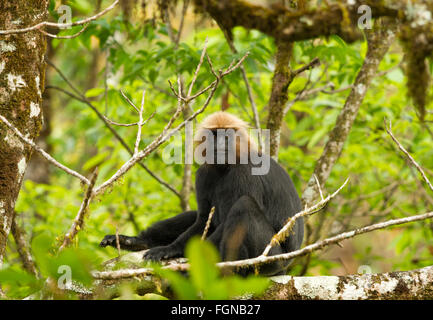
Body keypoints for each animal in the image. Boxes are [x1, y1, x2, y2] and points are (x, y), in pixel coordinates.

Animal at [100, 110, 304, 276]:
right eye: (215, 135)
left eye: (227, 135)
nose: (220, 143)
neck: (226, 166)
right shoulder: (204, 174)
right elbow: (204, 219)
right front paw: (170, 248)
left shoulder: (246, 171)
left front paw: (167, 251)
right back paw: (135, 242)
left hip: (272, 259)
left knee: (243, 206)